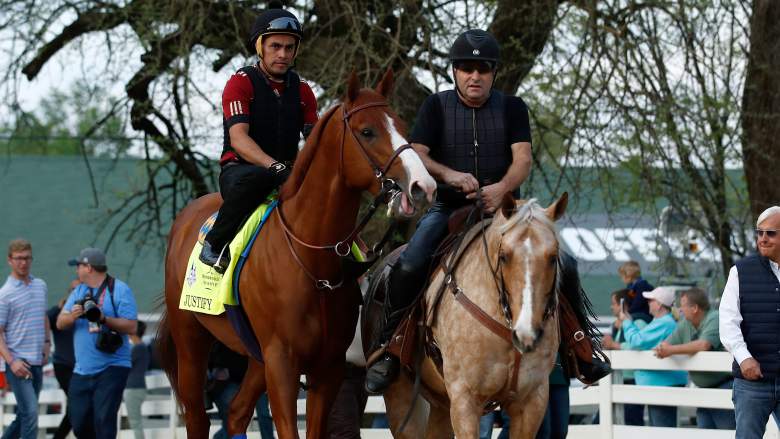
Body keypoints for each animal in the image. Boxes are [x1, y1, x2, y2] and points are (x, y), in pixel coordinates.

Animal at [157, 69, 438, 439]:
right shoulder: (282, 364)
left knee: (236, 413)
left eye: (403, 127)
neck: (311, 259)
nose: (423, 186)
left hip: (255, 357)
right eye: (367, 131)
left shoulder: (327, 368)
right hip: (192, 342)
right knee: (198, 417)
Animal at [368, 193, 568, 439]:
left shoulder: (532, 402)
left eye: (553, 257)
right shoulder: (465, 400)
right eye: (504, 256)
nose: (526, 333)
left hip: (439, 403)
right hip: (402, 400)